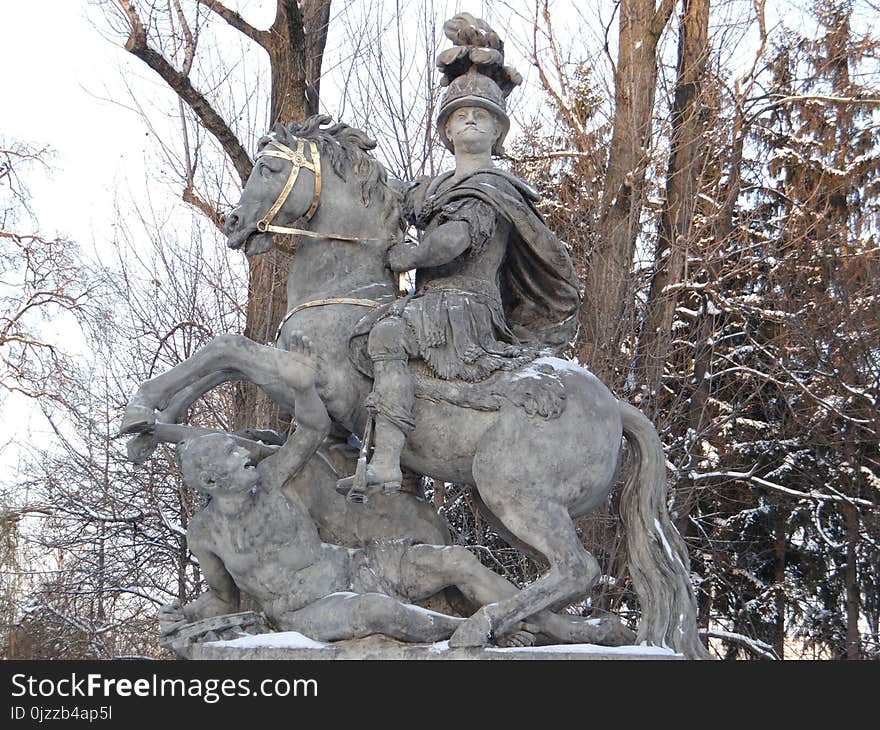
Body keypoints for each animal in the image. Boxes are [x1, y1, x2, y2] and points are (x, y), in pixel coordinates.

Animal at [122, 115, 708, 660]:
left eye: (267, 168)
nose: (235, 223)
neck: (345, 291)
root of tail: (616, 406)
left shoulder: (305, 377)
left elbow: (227, 348)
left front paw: (138, 410)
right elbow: (220, 363)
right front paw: (147, 428)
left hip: (513, 492)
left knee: (576, 568)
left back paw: (479, 628)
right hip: (506, 507)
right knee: (556, 578)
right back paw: (578, 630)